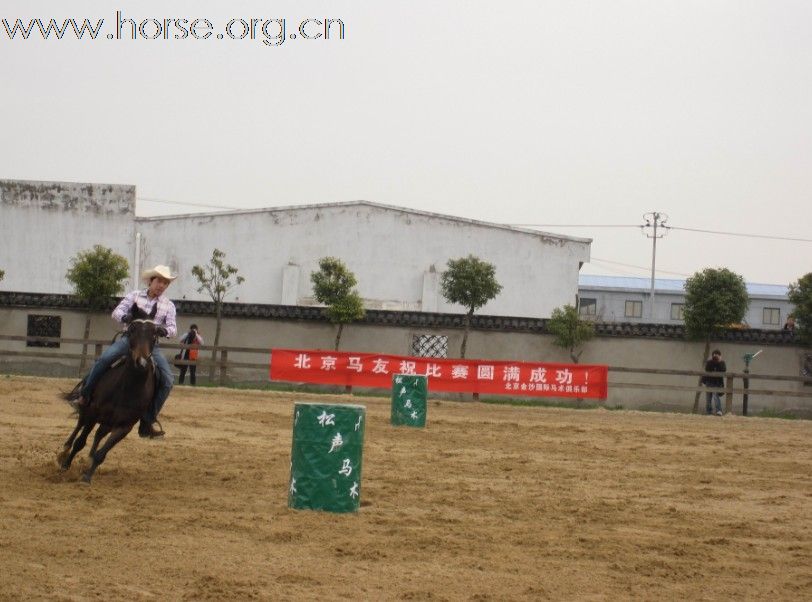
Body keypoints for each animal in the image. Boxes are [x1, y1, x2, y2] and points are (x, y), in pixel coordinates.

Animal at [58, 302, 160, 480]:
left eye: (154, 333)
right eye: (132, 330)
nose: (141, 362)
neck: (128, 388)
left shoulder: (124, 426)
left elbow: (102, 453)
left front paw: (87, 477)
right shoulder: (93, 413)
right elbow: (80, 442)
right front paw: (66, 465)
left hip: (108, 422)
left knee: (99, 434)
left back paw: (89, 458)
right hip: (87, 409)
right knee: (79, 426)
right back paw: (65, 450)